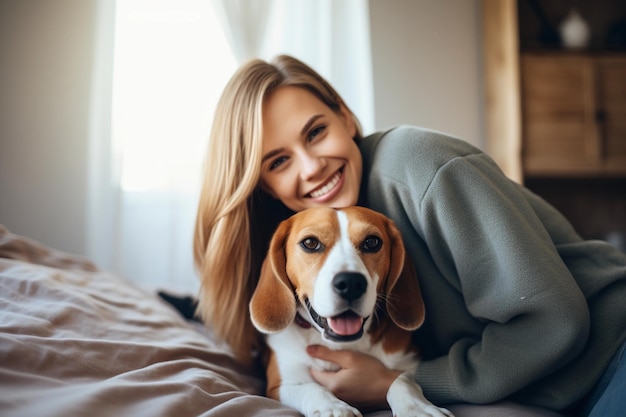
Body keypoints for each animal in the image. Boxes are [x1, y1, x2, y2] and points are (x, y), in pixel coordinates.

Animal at [247, 206, 448, 416]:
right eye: (310, 243)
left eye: (372, 242)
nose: (351, 283)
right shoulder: (279, 385)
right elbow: (312, 387)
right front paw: (332, 407)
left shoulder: (409, 362)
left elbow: (401, 380)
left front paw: (417, 408)